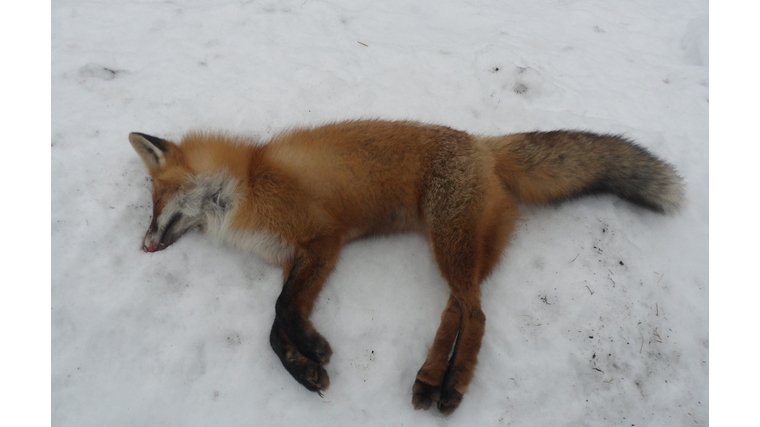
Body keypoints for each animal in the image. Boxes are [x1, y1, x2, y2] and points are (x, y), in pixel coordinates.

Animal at [129, 118, 684, 416]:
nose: (144, 245)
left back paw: (451, 385)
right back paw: (430, 378)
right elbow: (273, 326)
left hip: (450, 244)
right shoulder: (303, 257)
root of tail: (482, 143)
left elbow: (281, 310)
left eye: (155, 201)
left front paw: (313, 350)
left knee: (475, 314)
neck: (244, 183)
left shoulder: (322, 242)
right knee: (458, 308)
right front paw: (305, 369)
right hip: (460, 249)